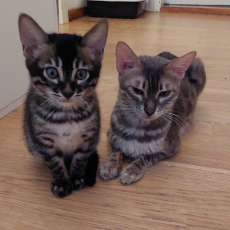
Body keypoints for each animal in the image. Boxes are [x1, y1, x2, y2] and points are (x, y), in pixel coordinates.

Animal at [18, 13, 108, 198]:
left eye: (81, 74)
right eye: (52, 72)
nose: (67, 92)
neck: (66, 114)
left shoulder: (89, 137)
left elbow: (80, 159)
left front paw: (76, 178)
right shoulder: (44, 142)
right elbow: (54, 163)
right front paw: (61, 182)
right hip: (31, 142)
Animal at [99, 41, 206, 185]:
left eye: (164, 93)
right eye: (137, 90)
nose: (150, 110)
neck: (137, 127)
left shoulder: (172, 146)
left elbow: (146, 156)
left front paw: (132, 170)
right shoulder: (110, 135)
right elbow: (116, 150)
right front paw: (110, 165)